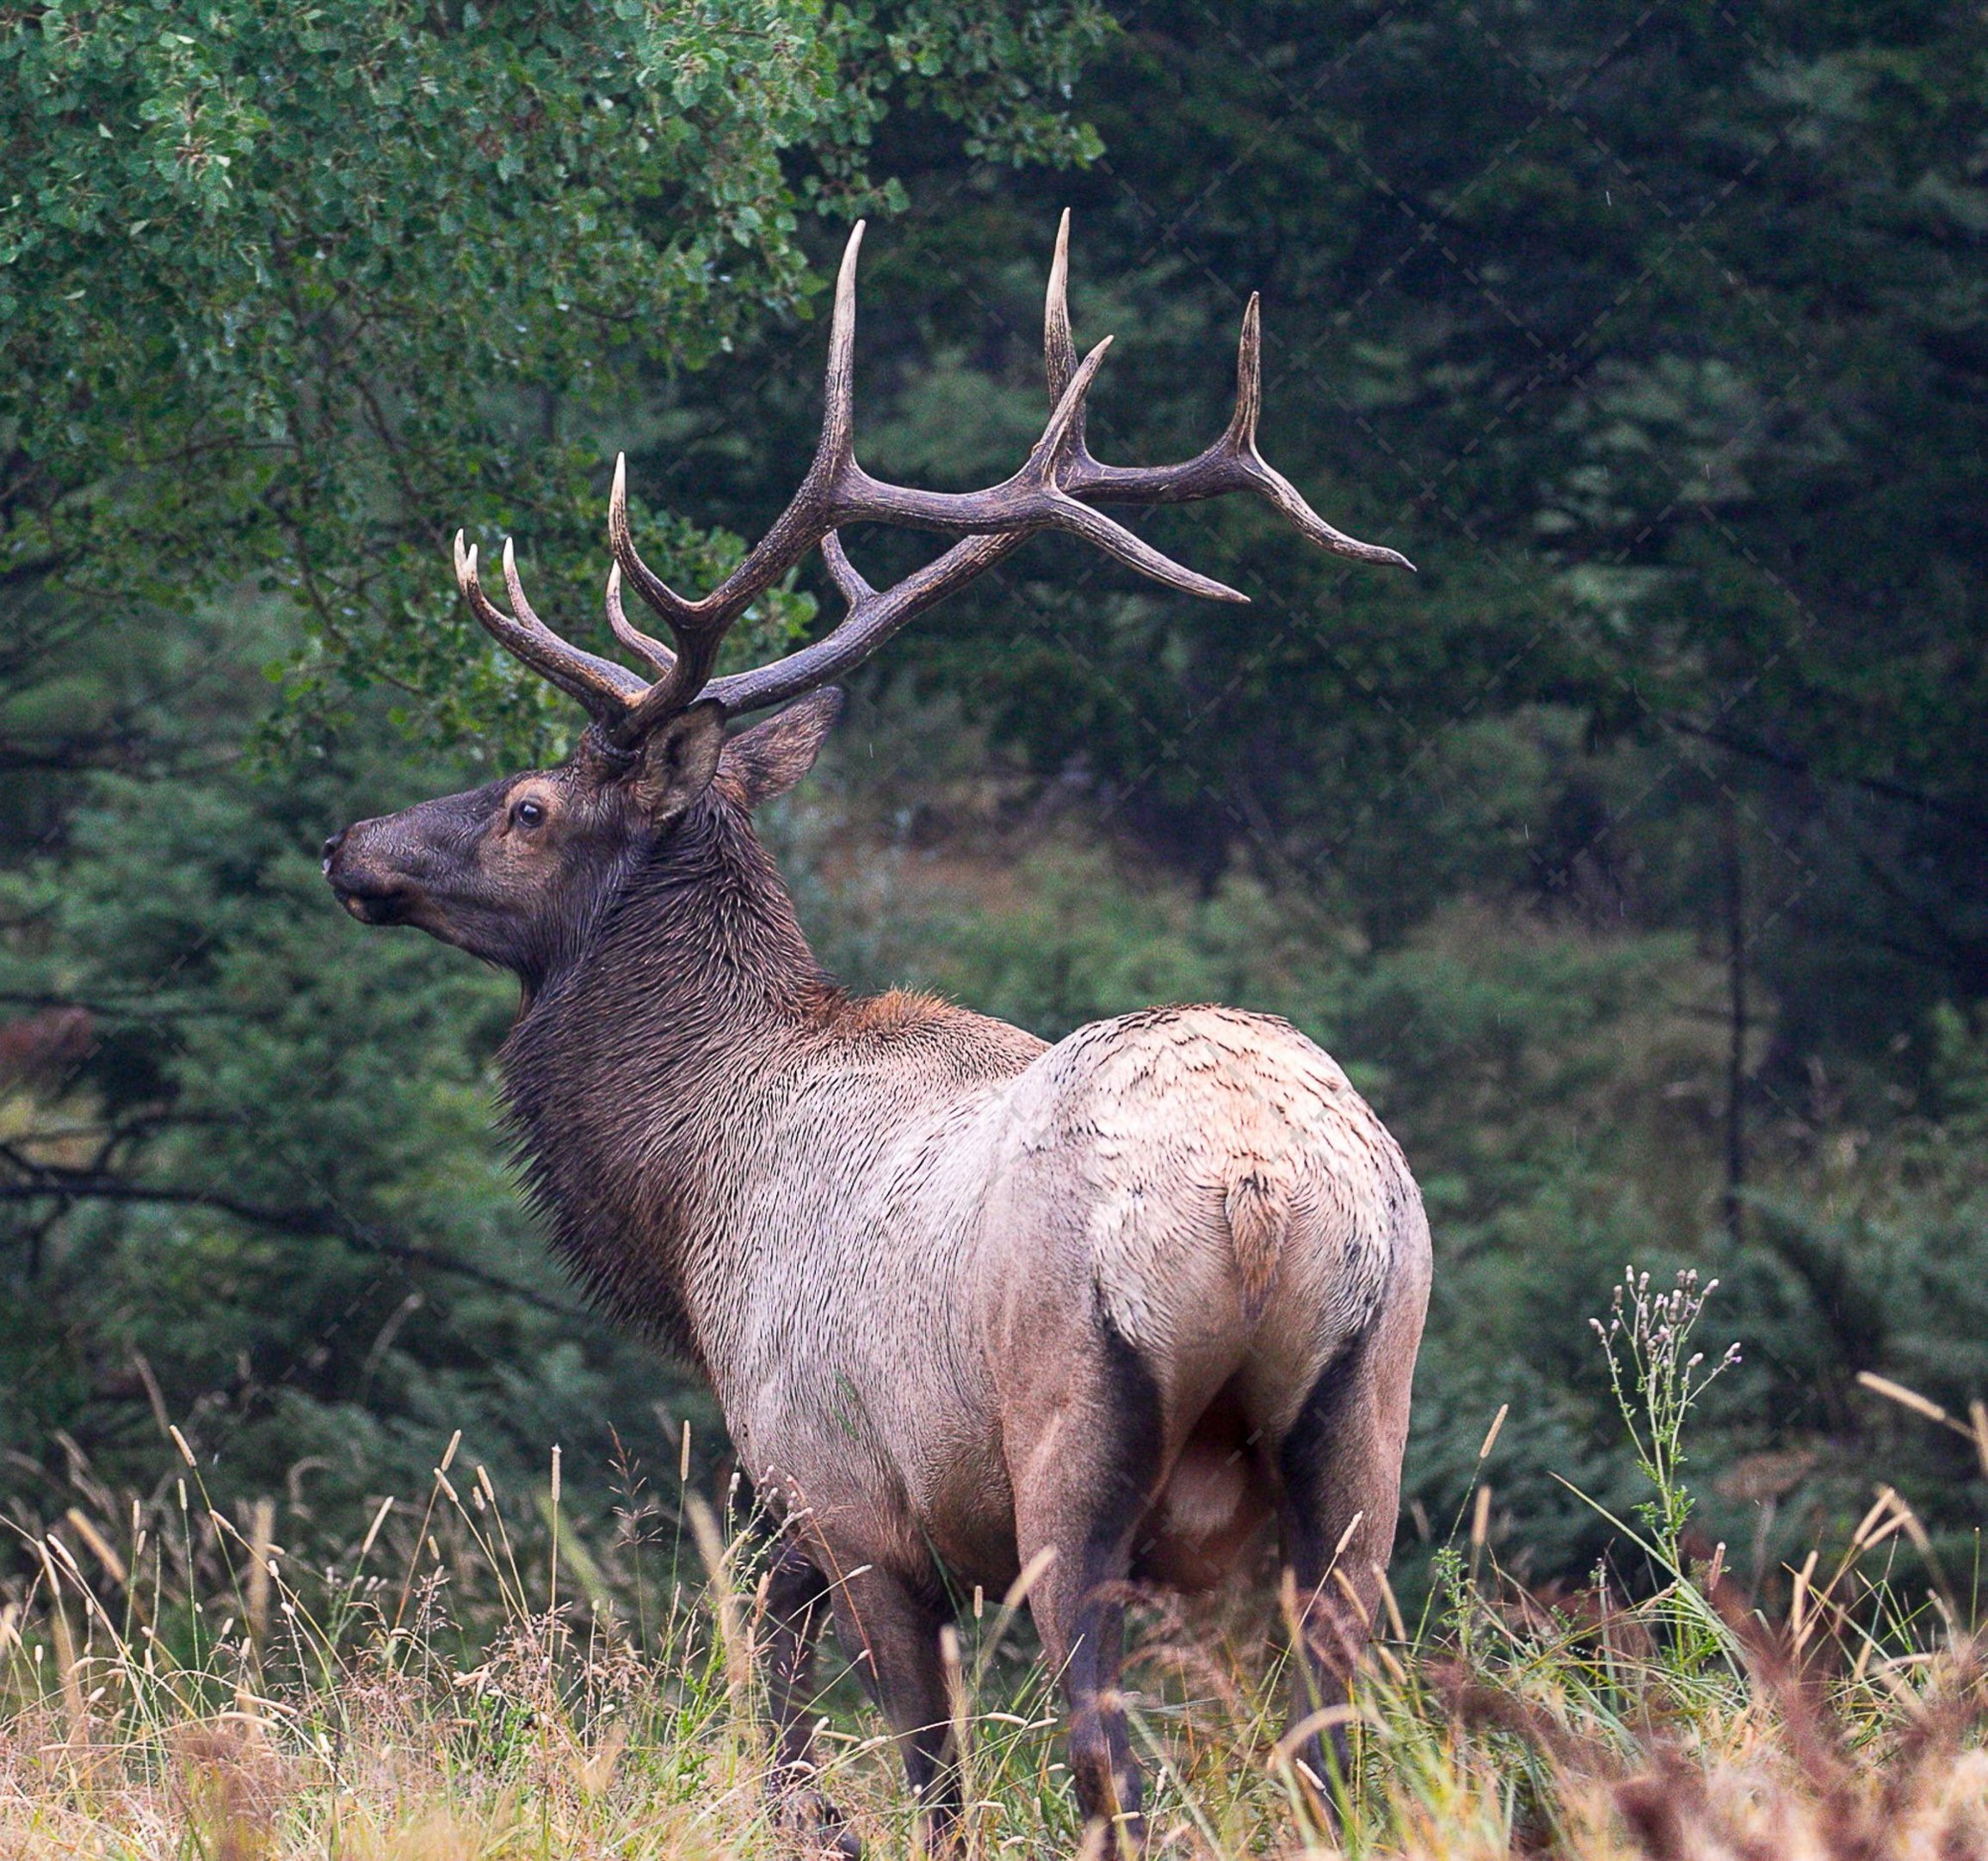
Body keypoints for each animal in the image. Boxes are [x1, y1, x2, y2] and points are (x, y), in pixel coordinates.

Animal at [324, 214, 1430, 1856]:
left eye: (526, 804)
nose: (350, 844)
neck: (685, 1197)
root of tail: (1264, 1196)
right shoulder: (814, 1508)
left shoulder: (841, 1483)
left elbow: (908, 1768)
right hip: (1363, 1444)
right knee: (1335, 1756)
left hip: (1072, 1451)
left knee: (1108, 1754)